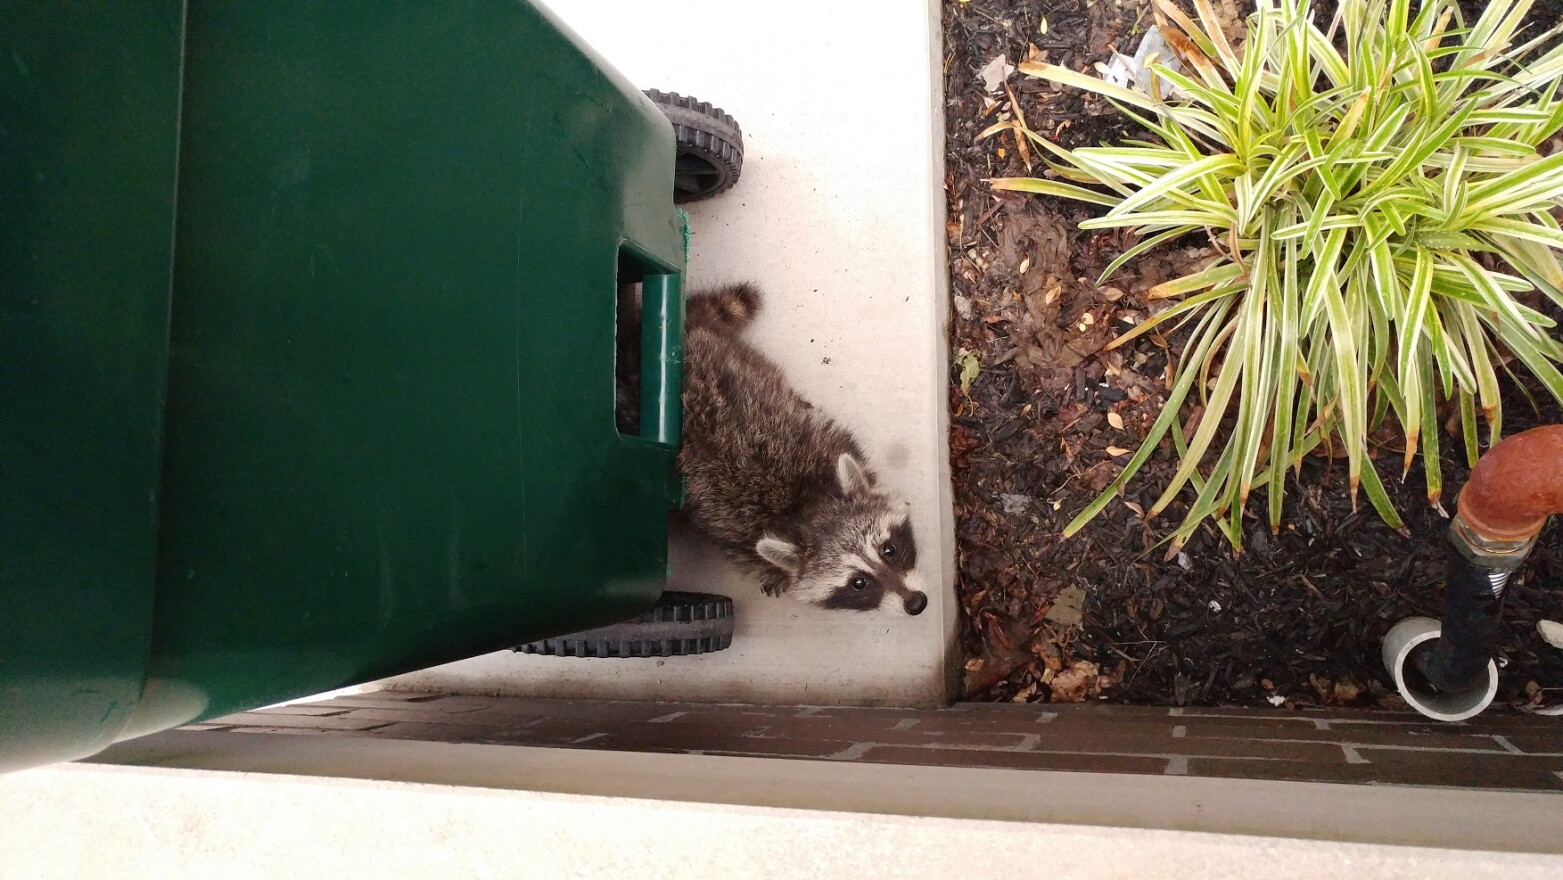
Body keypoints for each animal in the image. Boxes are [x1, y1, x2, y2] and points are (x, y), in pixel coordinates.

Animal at [669, 283, 927, 616]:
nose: (916, 603)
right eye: (858, 583)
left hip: (741, 359)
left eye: (889, 549)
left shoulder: (830, 443)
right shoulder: (737, 537)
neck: (804, 505)